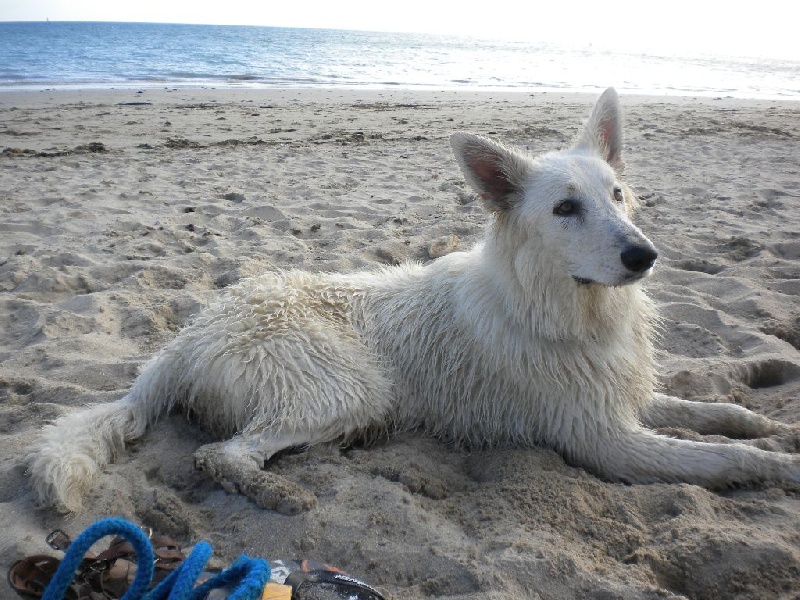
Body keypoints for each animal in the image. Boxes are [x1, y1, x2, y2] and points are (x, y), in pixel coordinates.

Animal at [30, 88, 799, 515]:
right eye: (565, 208)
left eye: (615, 195)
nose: (644, 256)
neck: (562, 305)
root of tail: (184, 338)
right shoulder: (606, 440)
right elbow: (720, 462)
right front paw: (782, 468)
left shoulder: (623, 399)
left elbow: (715, 415)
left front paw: (760, 424)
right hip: (345, 385)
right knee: (221, 455)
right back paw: (279, 493)